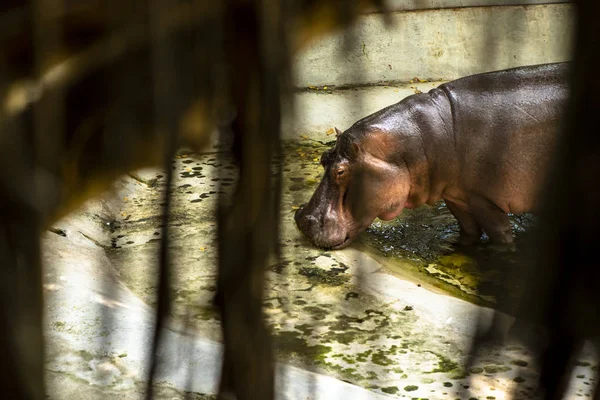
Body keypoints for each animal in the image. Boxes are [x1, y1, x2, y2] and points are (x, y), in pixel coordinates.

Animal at [296, 62, 572, 250]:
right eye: (323, 158)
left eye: (340, 171)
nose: (301, 219)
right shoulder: (457, 196)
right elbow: (468, 231)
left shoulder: (484, 199)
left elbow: (501, 235)